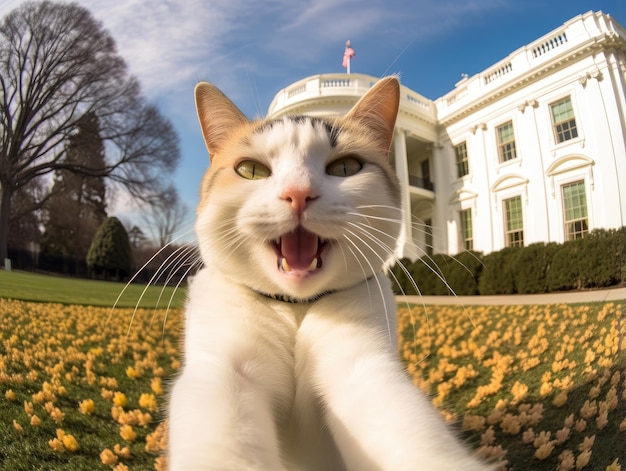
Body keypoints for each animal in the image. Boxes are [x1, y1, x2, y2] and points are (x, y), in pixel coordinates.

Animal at [167, 75, 492, 470]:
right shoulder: (226, 369)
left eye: (346, 168)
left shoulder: (361, 364)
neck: (296, 307)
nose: (298, 193)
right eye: (251, 170)